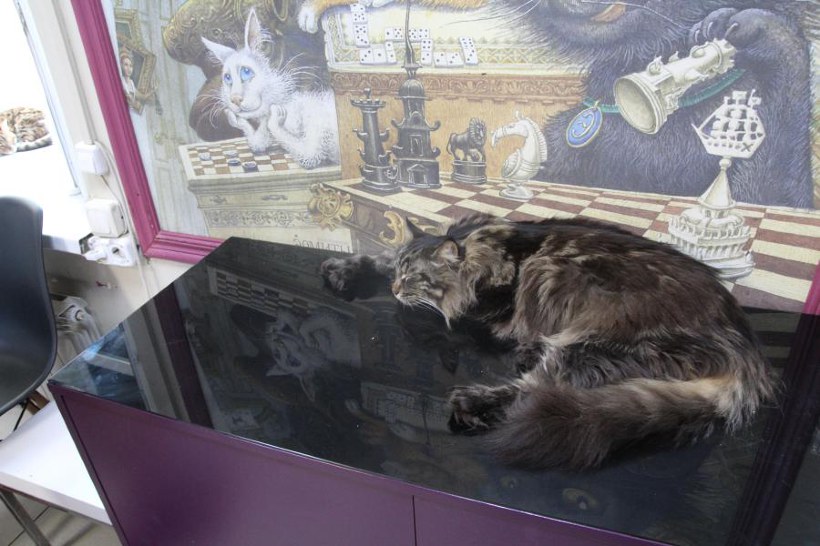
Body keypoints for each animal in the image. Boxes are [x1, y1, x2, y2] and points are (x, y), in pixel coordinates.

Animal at [202, 8, 340, 169]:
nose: (234, 99)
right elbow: (258, 143)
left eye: (246, 72)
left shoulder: (314, 129)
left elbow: (310, 155)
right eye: (227, 78)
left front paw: (275, 120)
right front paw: (237, 120)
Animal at [321, 213, 775, 469]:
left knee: (536, 388)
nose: (396, 290)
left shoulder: (487, 309)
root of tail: (746, 352)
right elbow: (378, 256)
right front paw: (344, 269)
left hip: (585, 325)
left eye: (415, 278)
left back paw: (474, 400)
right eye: (401, 272)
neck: (477, 250)